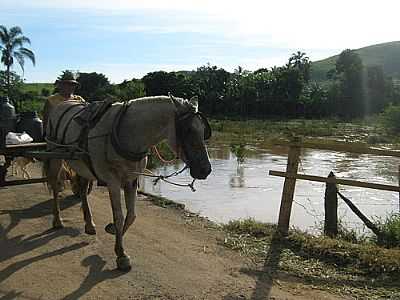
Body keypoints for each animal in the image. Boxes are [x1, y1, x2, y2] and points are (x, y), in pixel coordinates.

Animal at [44, 95, 212, 270]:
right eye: (188, 130)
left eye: (203, 131)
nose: (205, 169)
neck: (125, 132)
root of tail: (62, 104)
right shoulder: (113, 182)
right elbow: (119, 216)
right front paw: (121, 255)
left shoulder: (131, 180)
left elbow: (131, 216)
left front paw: (114, 236)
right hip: (55, 156)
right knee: (55, 185)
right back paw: (57, 220)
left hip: (82, 164)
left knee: (83, 190)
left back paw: (89, 224)